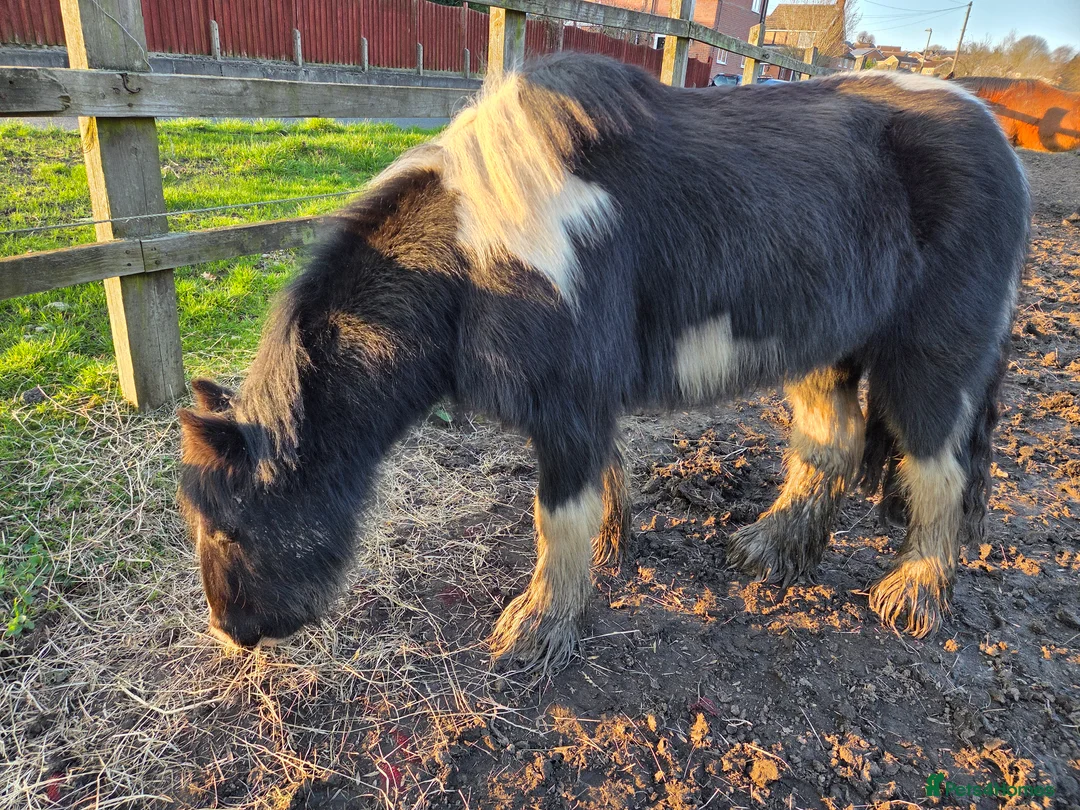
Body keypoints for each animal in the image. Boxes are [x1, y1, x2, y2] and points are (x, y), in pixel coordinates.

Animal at [177, 55, 1031, 669]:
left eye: (229, 525)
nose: (232, 632)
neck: (473, 256)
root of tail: (1000, 140)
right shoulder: (585, 403)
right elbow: (605, 487)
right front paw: (610, 557)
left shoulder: (569, 404)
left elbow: (557, 517)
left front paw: (536, 629)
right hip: (826, 351)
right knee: (833, 442)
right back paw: (772, 549)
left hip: (930, 357)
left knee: (940, 466)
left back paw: (915, 594)